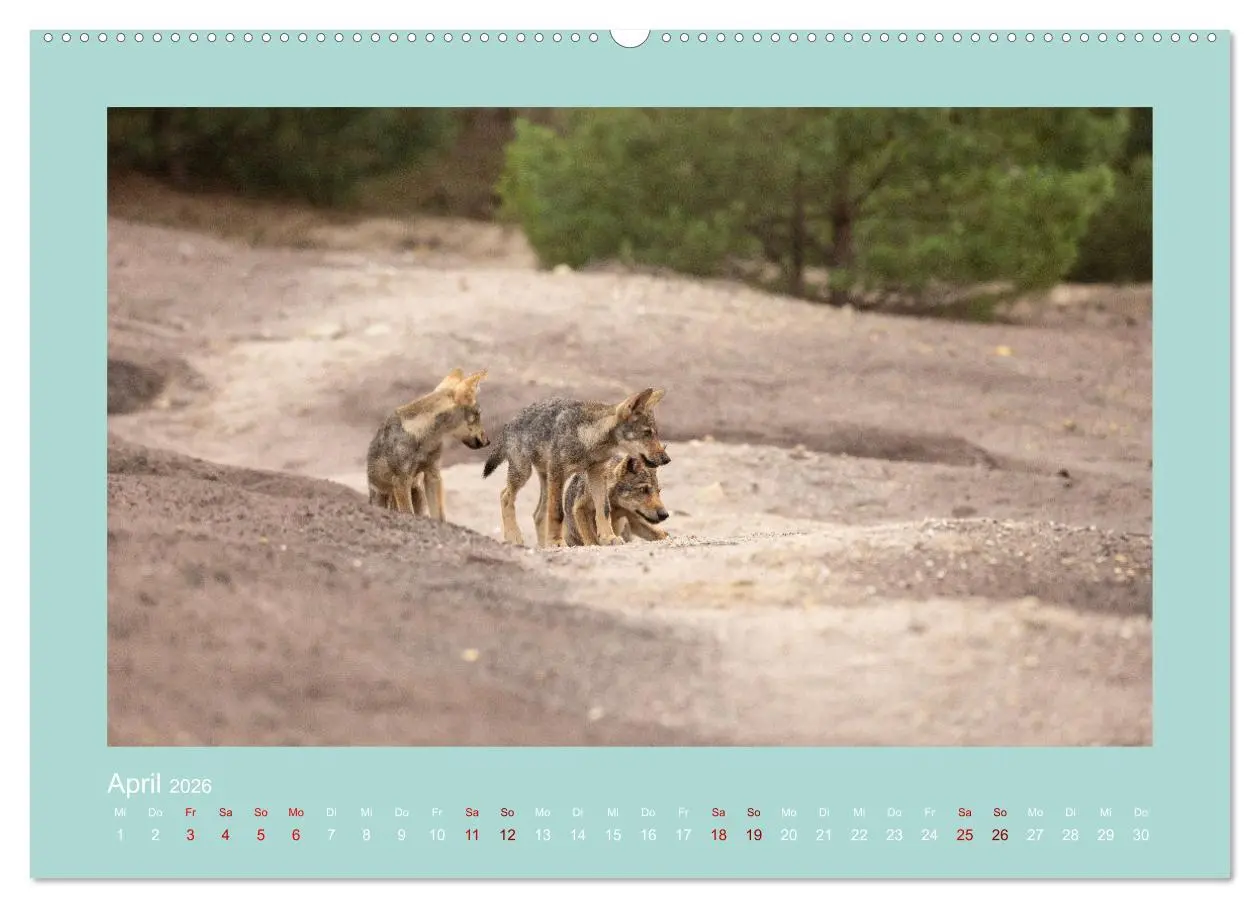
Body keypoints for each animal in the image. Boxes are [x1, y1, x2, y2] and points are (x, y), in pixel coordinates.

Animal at [366, 368, 489, 520]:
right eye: (478, 414)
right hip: (384, 496)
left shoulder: (433, 474)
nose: (487, 441)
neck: (424, 439)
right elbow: (408, 513)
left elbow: (439, 516)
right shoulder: (401, 482)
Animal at [482, 388, 669, 547]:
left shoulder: (597, 473)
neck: (587, 438)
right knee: (505, 496)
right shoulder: (558, 472)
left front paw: (608, 537)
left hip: (545, 480)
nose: (666, 459)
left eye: (655, 433)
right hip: (524, 473)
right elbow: (558, 513)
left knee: (538, 514)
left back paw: (543, 546)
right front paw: (557, 542)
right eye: (647, 433)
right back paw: (514, 536)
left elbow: (604, 510)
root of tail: (510, 422)